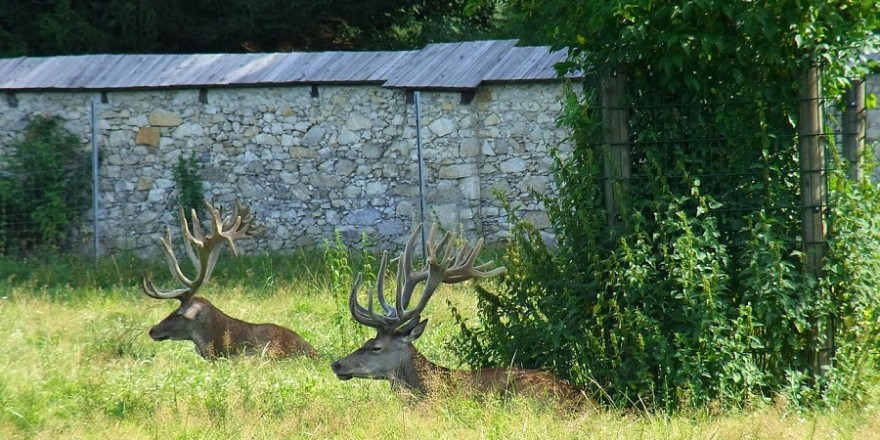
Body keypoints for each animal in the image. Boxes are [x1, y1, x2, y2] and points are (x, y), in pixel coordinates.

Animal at [328, 225, 584, 408]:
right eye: (366, 341)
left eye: (376, 347)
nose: (336, 364)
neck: (431, 385)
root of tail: (585, 402)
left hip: (522, 395)